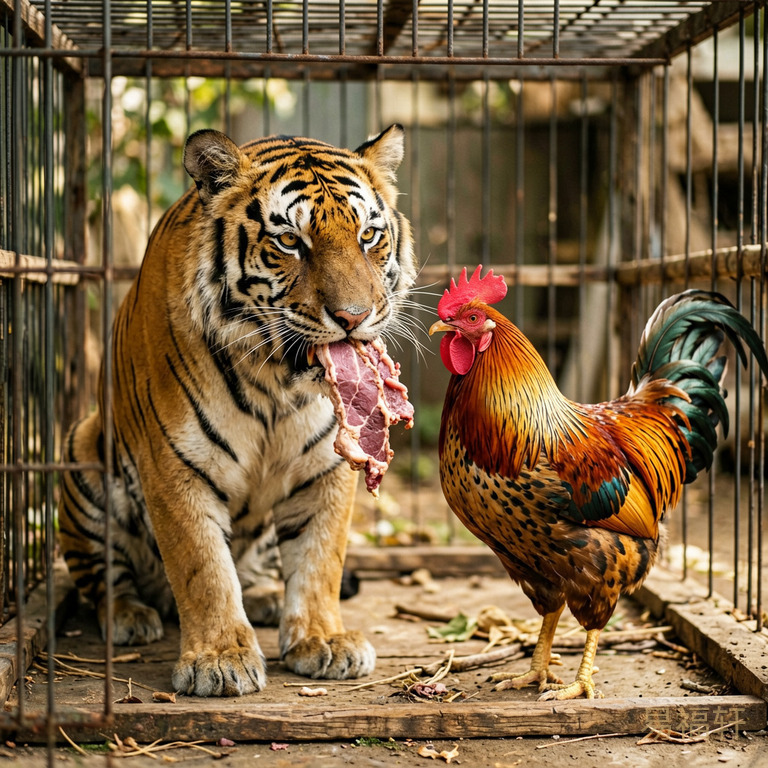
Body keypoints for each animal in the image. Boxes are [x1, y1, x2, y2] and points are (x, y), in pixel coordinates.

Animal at [58, 124, 416, 697]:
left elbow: (320, 559)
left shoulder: (327, 466)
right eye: (290, 241)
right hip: (82, 450)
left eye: (367, 236)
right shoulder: (174, 466)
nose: (353, 317)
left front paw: (323, 640)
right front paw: (219, 659)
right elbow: (202, 567)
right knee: (105, 580)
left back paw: (267, 596)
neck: (277, 386)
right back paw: (131, 616)